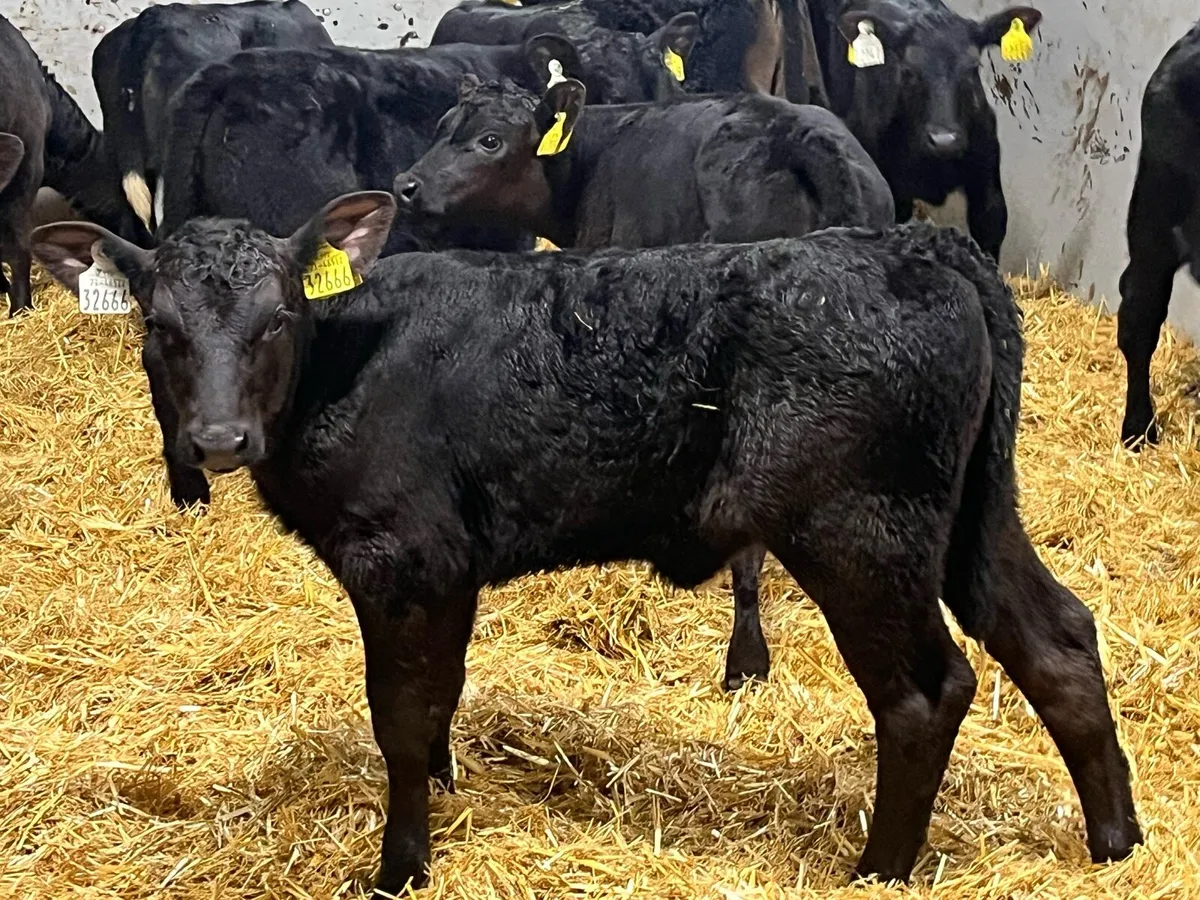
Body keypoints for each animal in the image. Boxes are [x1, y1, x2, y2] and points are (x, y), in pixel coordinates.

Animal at [33, 193, 1141, 893]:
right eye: (161, 329)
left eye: (275, 319)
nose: (219, 440)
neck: (344, 364)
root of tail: (917, 248)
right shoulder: (451, 567)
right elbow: (442, 692)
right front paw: (447, 793)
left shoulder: (399, 558)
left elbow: (400, 716)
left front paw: (399, 867)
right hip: (969, 515)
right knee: (1057, 638)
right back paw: (1116, 840)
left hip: (862, 530)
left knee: (926, 690)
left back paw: (878, 869)